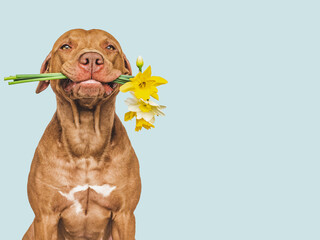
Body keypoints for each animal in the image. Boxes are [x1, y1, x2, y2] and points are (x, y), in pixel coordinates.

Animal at [22, 29, 141, 239]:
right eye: (66, 46)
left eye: (110, 47)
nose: (91, 58)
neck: (87, 139)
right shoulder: (45, 217)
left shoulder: (125, 215)